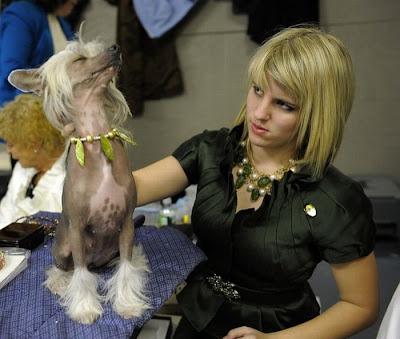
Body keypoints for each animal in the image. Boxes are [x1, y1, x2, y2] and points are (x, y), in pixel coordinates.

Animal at [9, 34, 150, 324]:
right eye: (79, 59)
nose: (116, 48)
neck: (97, 140)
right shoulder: (76, 228)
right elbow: (81, 275)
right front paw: (85, 308)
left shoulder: (126, 223)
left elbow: (126, 268)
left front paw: (127, 303)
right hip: (64, 246)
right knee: (65, 268)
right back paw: (60, 282)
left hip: (117, 243)